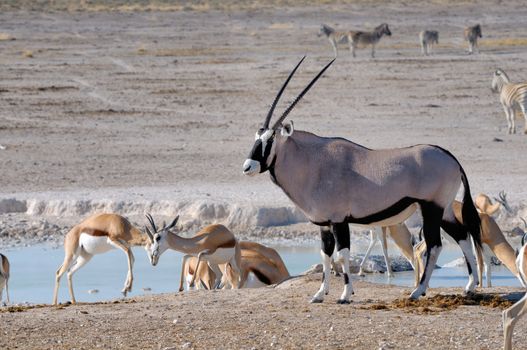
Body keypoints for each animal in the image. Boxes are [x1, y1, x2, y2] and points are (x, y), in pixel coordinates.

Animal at [243, 57, 482, 304]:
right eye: (256, 137)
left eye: (270, 139)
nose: (248, 166)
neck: (313, 163)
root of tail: (451, 159)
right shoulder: (324, 225)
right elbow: (325, 255)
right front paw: (319, 294)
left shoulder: (339, 221)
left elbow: (342, 254)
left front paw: (345, 295)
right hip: (443, 210)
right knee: (462, 236)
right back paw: (469, 287)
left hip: (431, 208)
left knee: (435, 245)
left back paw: (418, 291)